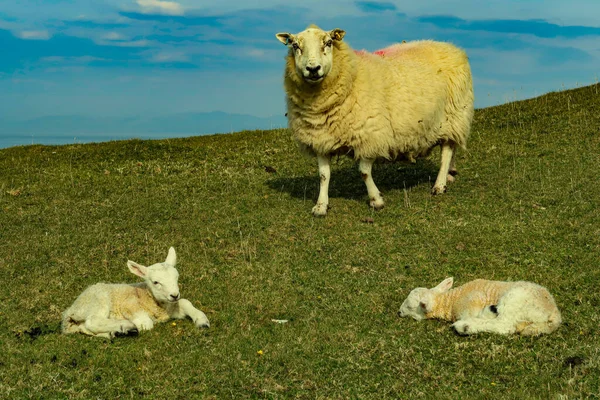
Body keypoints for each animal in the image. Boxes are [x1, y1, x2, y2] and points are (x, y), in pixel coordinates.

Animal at [62, 247, 210, 338]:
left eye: (177, 277)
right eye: (156, 282)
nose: (174, 295)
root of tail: (70, 312)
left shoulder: (171, 309)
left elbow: (185, 302)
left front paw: (202, 321)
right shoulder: (128, 304)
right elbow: (147, 324)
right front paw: (137, 324)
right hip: (98, 300)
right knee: (93, 321)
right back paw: (125, 327)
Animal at [276, 25, 474, 217]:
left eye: (329, 42)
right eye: (295, 45)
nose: (313, 69)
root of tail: (450, 46)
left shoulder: (368, 135)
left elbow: (364, 172)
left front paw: (376, 200)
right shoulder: (321, 140)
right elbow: (324, 175)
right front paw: (320, 206)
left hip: (453, 116)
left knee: (446, 152)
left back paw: (439, 184)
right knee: (452, 148)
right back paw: (450, 174)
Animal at [398, 276, 564, 336]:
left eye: (410, 306)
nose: (399, 312)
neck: (450, 301)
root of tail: (554, 313)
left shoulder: (471, 303)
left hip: (516, 299)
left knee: (504, 325)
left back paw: (465, 327)